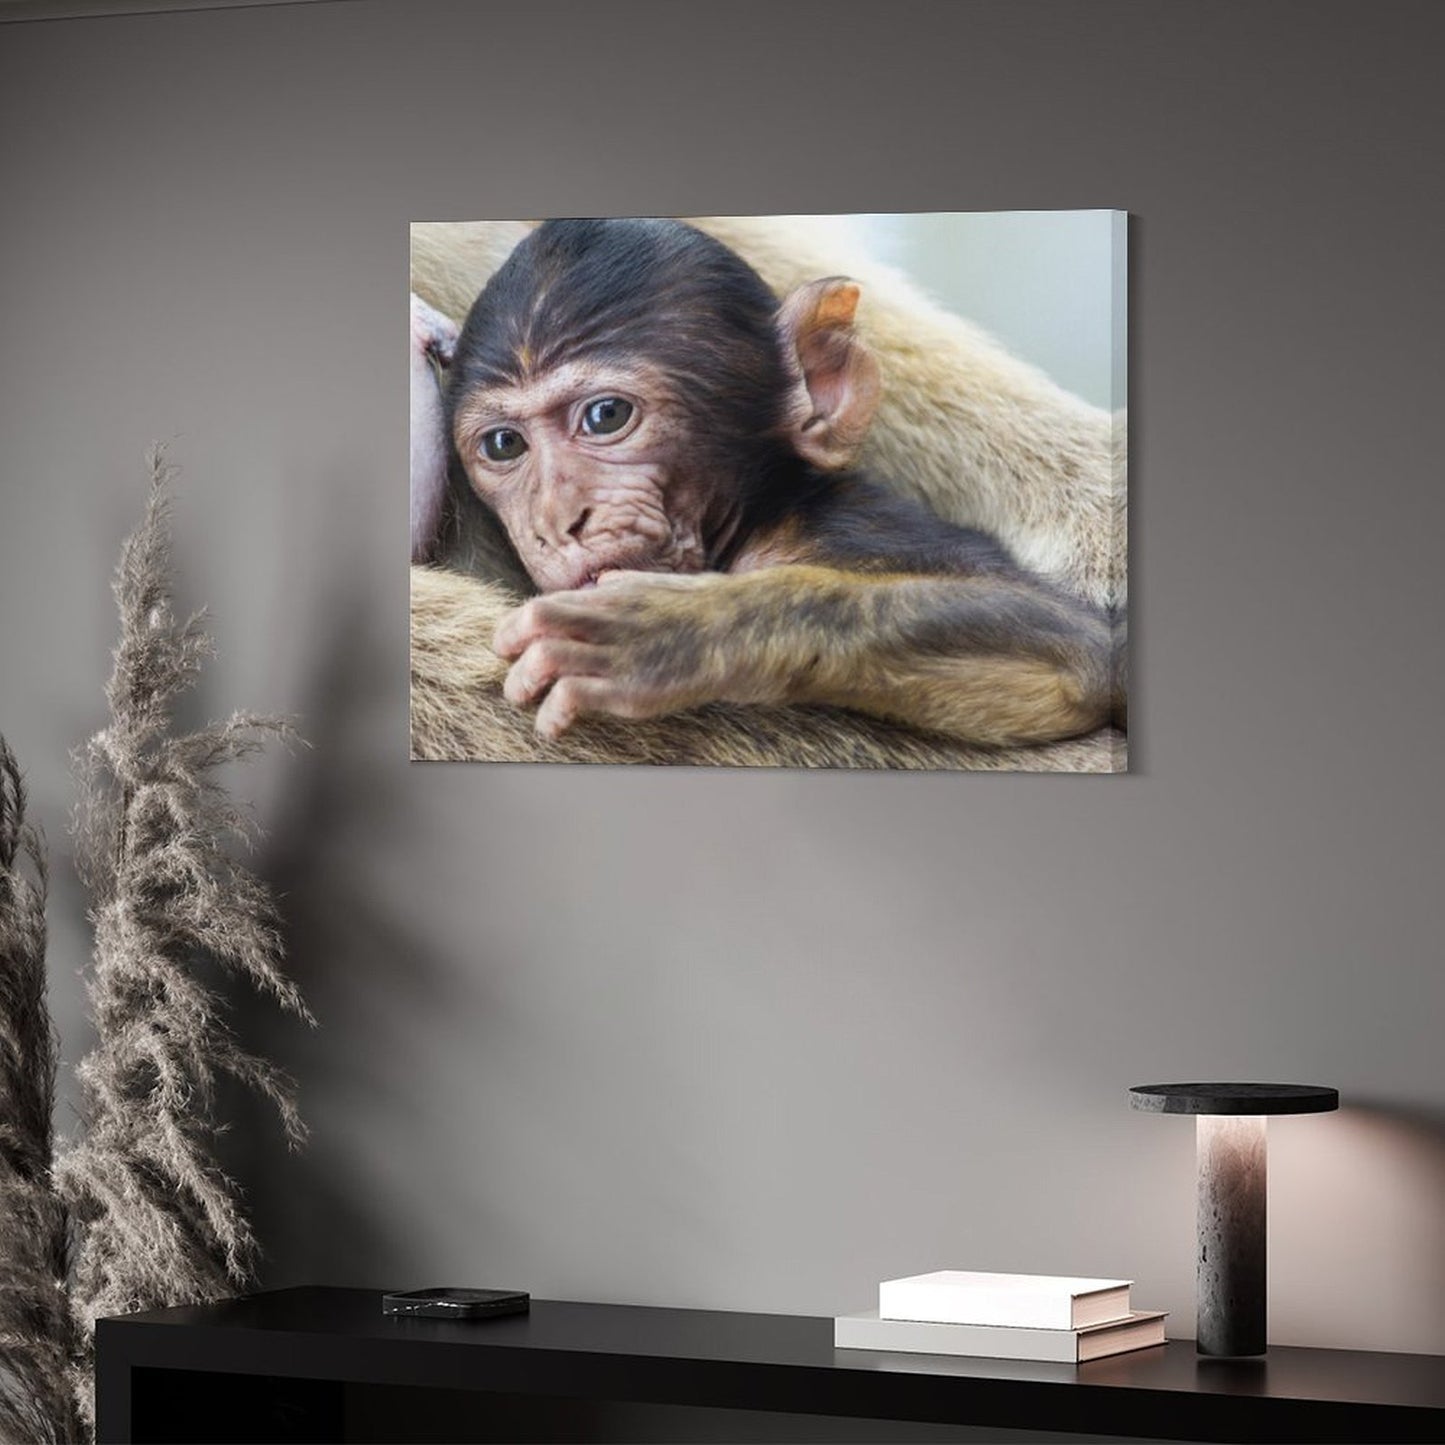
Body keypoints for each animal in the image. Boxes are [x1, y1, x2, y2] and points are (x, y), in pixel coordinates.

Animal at [412, 218, 1123, 752]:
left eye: (606, 416)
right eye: (504, 445)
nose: (557, 520)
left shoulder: (843, 529)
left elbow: (1078, 653)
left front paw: (677, 633)